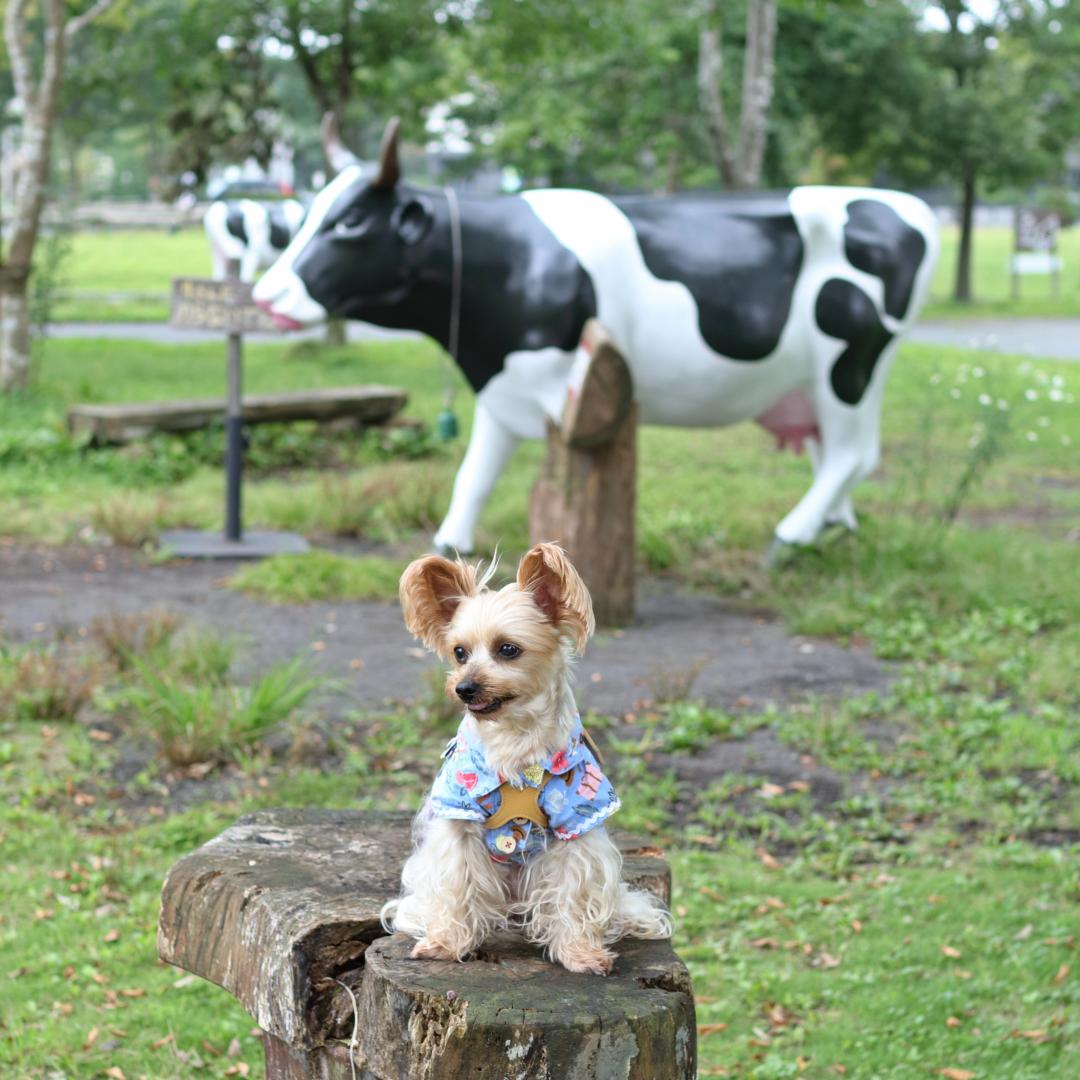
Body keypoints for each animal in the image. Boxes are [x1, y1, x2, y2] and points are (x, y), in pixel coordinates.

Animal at [378, 544, 665, 976]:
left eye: (508, 649)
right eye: (459, 653)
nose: (464, 688)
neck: (515, 740)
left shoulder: (577, 823)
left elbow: (573, 890)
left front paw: (579, 953)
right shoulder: (458, 819)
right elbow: (458, 884)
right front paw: (446, 944)